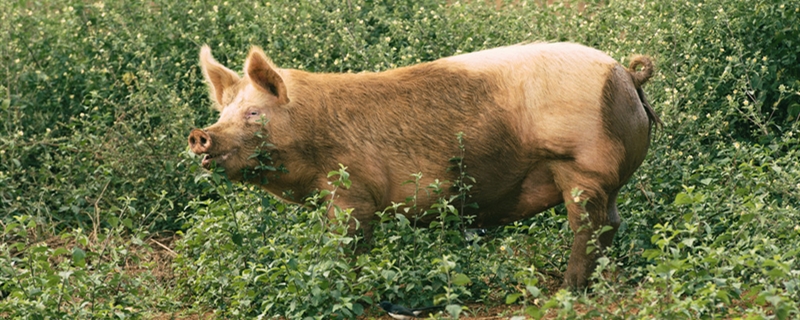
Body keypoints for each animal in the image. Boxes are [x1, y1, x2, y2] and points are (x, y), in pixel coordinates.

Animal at [189, 41, 664, 288]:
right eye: (224, 112)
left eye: (254, 113)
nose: (200, 134)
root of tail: (626, 74)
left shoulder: (351, 190)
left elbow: (348, 244)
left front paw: (345, 287)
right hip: (605, 178)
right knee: (613, 222)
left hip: (583, 166)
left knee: (589, 226)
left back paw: (567, 289)